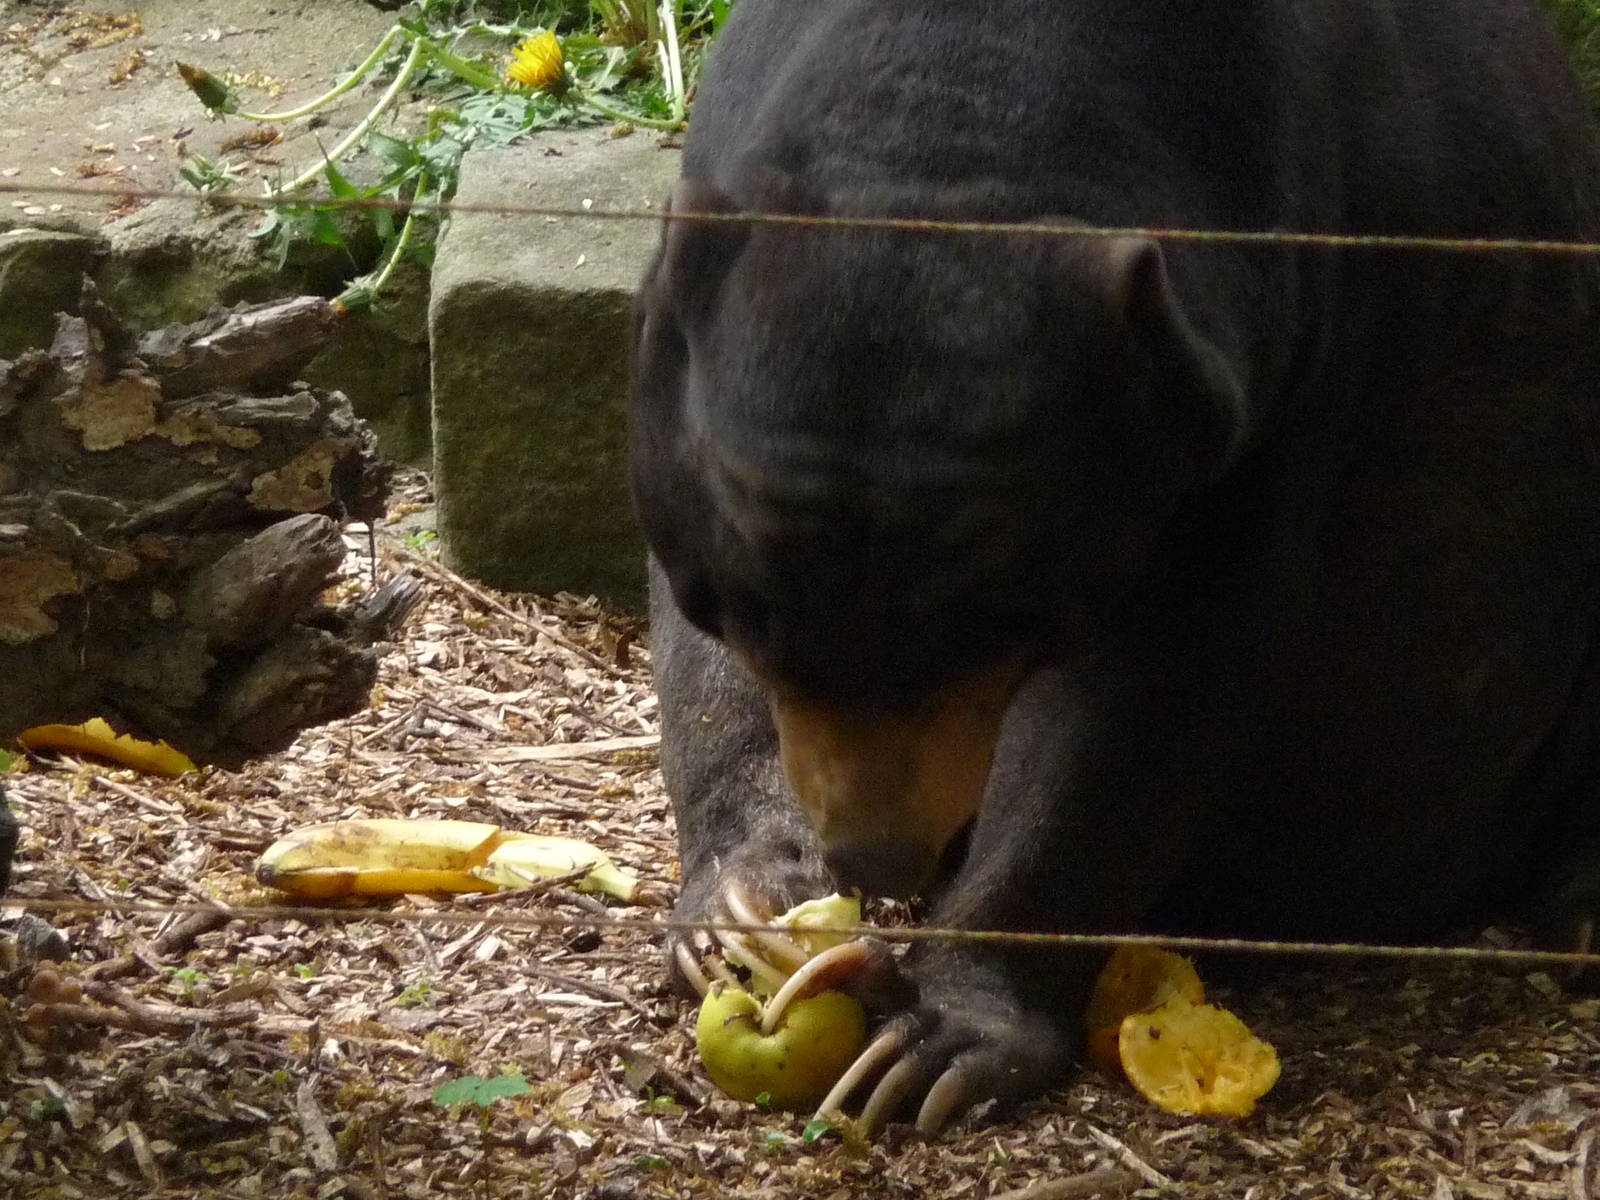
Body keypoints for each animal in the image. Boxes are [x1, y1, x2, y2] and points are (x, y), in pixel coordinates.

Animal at [629, 0, 1600, 1133]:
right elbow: (699, 662)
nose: (877, 857)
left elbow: (1150, 699)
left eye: (1008, 630)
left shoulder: (1282, 366)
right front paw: (741, 912)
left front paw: (932, 1043)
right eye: (748, 619)